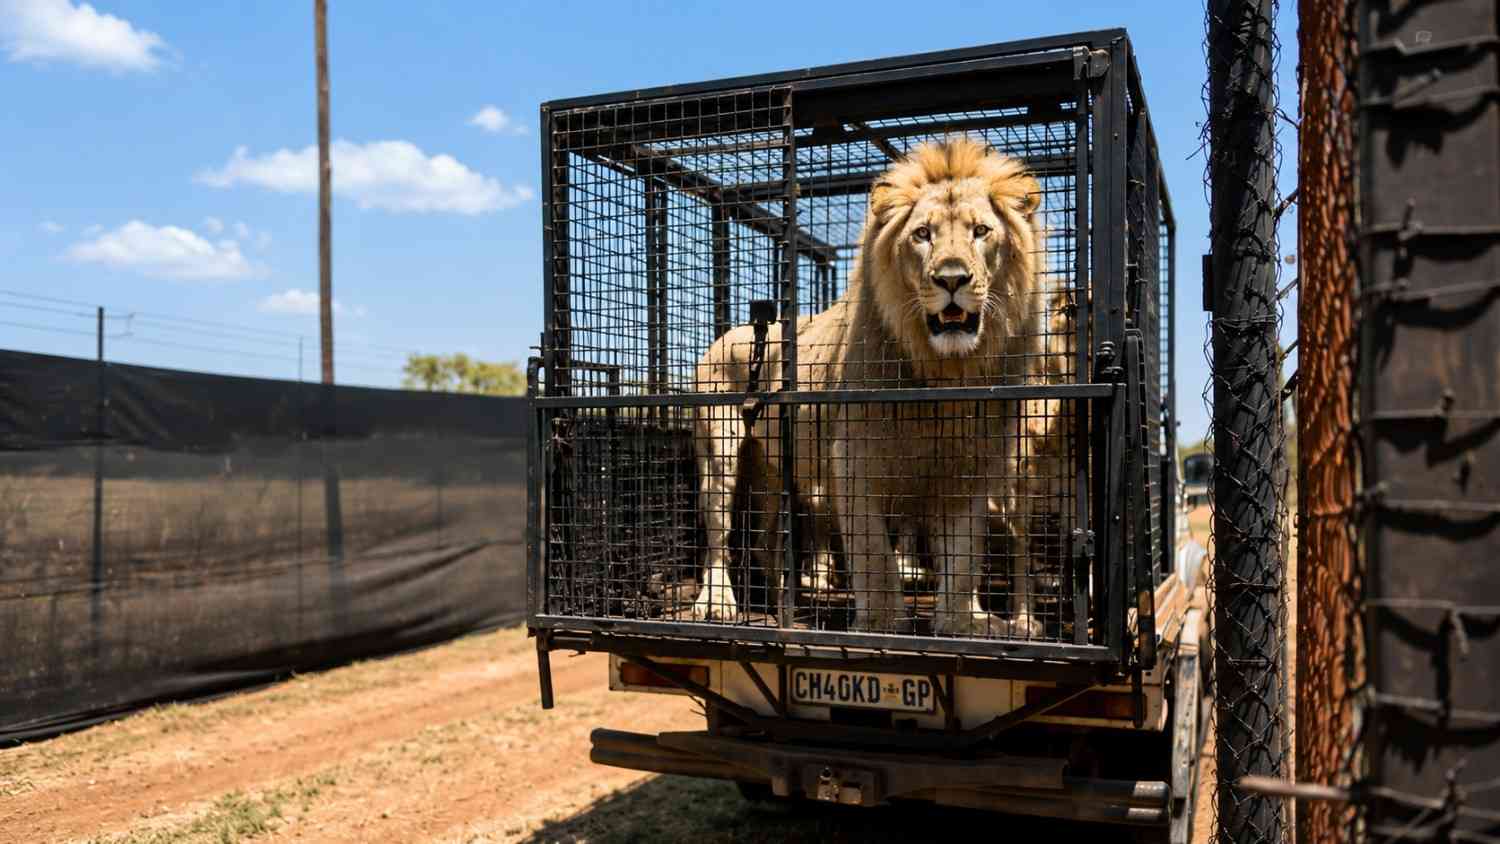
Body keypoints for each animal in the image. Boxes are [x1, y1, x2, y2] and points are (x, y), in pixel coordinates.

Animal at [690, 137, 1046, 638]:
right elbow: (874, 551)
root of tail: (726, 334)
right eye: (922, 234)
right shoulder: (854, 457)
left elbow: (963, 555)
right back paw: (719, 602)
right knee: (719, 536)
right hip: (720, 453)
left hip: (773, 466)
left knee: (764, 539)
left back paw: (788, 601)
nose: (951, 278)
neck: (945, 371)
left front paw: (964, 622)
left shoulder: (969, 465)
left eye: (980, 231)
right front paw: (881, 619)